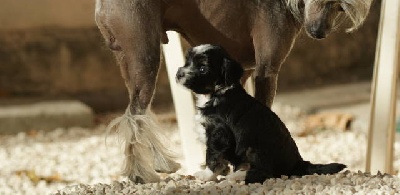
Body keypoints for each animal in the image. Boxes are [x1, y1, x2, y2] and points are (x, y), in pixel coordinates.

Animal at [175, 44, 346, 184]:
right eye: (187, 62)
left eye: (203, 68)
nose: (178, 74)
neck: (217, 93)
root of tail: (298, 162)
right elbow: (219, 159)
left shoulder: (219, 134)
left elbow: (213, 157)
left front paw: (206, 175)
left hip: (254, 148)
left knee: (265, 173)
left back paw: (238, 176)